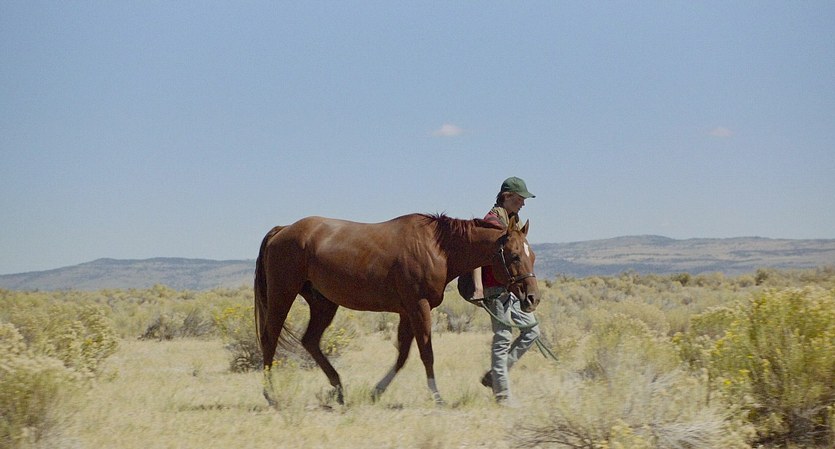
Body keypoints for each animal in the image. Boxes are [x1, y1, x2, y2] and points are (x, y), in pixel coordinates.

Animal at [254, 213, 539, 406]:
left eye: (532, 256)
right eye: (514, 255)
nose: (532, 298)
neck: (437, 247)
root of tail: (282, 230)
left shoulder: (406, 312)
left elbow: (402, 355)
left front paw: (376, 391)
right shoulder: (419, 307)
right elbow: (426, 354)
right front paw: (437, 397)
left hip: (323, 303)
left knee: (310, 341)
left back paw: (338, 388)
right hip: (282, 295)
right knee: (270, 339)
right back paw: (271, 395)